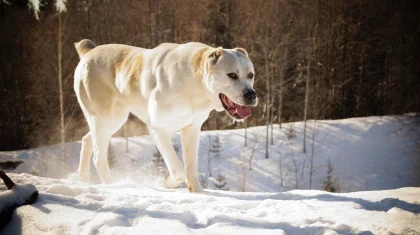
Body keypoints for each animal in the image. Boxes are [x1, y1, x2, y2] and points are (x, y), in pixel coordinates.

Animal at [73, 39, 256, 192]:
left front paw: (197, 192)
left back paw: (83, 180)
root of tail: (89, 52)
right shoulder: (157, 128)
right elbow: (178, 169)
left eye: (250, 75)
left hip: (112, 121)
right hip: (105, 119)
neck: (195, 83)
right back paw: (114, 185)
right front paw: (166, 182)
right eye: (232, 75)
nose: (251, 95)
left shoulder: (191, 128)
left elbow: (191, 166)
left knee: (87, 141)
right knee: (98, 157)